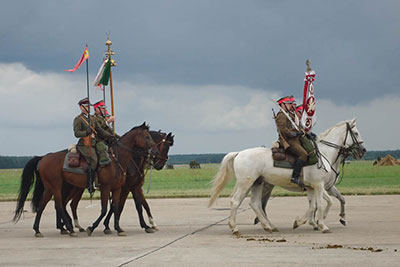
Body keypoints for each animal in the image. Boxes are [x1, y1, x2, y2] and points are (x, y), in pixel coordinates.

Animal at [14, 122, 158, 238]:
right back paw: (70, 229)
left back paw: (39, 230)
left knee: (44, 206)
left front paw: (118, 228)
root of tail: (44, 158)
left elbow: (116, 207)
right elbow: (105, 209)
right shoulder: (107, 188)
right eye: (147, 136)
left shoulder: (118, 188)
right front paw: (93, 227)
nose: (155, 152)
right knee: (59, 204)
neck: (117, 160)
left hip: (52, 188)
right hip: (56, 186)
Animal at [209, 118, 366, 236]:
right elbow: (323, 203)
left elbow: (315, 205)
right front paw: (322, 225)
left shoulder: (313, 187)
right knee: (236, 201)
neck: (324, 155)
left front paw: (302, 222)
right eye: (356, 133)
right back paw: (235, 228)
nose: (363, 151)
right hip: (246, 183)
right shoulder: (319, 185)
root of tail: (238, 153)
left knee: (255, 204)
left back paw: (269, 226)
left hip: (257, 183)